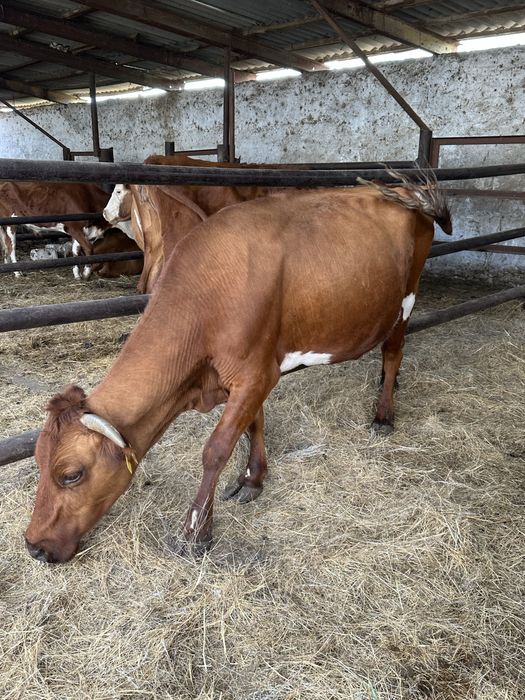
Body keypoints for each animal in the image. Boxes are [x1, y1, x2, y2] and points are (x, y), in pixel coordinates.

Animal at [25, 178, 452, 563]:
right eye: (39, 463)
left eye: (71, 474)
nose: (34, 546)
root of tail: (402, 190)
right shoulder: (252, 373)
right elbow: (253, 426)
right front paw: (253, 478)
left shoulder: (255, 374)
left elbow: (216, 449)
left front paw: (195, 531)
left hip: (406, 299)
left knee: (393, 352)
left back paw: (384, 414)